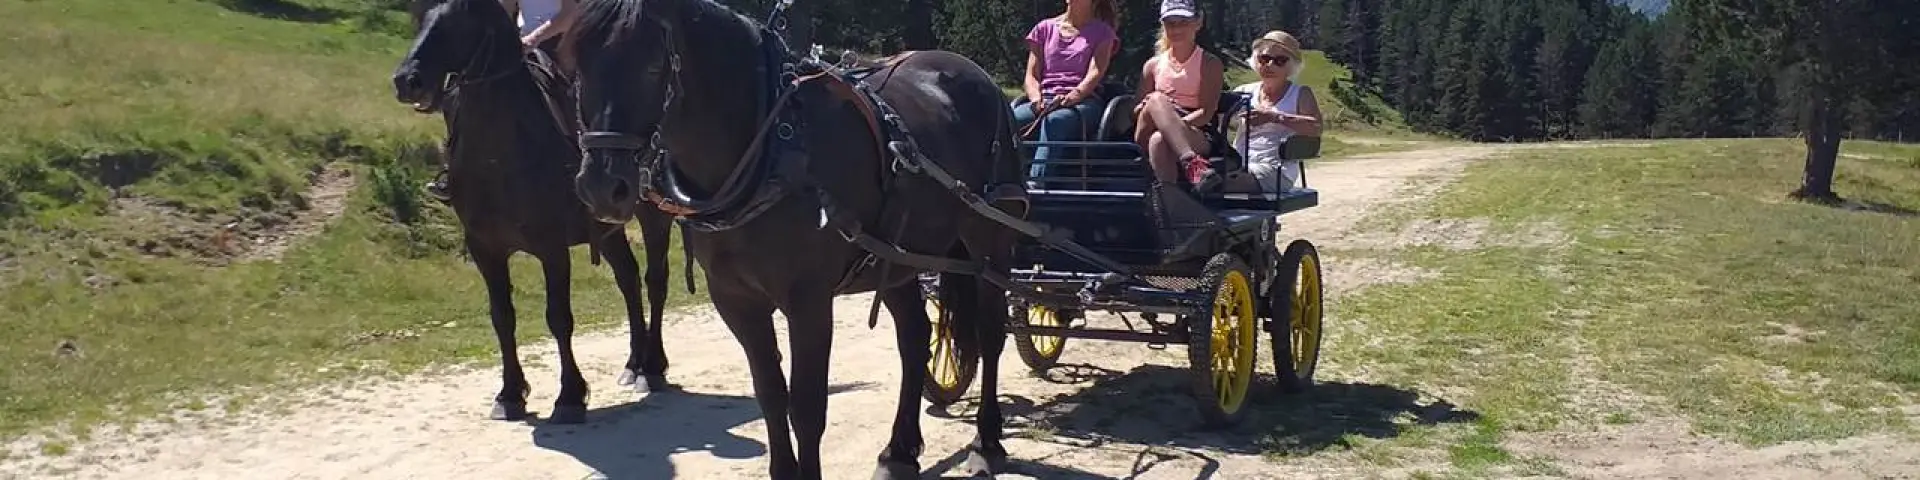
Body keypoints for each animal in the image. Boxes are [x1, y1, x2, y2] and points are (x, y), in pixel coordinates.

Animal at [392, 0, 681, 424]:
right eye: (420, 11)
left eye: (462, 15)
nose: (407, 80)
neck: (499, 155)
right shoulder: (485, 249)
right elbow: (502, 317)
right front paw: (511, 393)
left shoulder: (551, 248)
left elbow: (558, 318)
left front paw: (570, 396)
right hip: (607, 229)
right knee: (628, 280)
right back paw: (633, 363)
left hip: (653, 218)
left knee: (654, 281)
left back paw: (653, 367)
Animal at [562, 0, 1029, 477]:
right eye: (576, 67)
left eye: (654, 66)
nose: (602, 188)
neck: (771, 149)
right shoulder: (735, 299)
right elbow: (770, 393)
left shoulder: (809, 300)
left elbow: (805, 407)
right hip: (897, 257)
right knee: (914, 339)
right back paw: (899, 451)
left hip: (990, 242)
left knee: (991, 332)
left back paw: (986, 441)